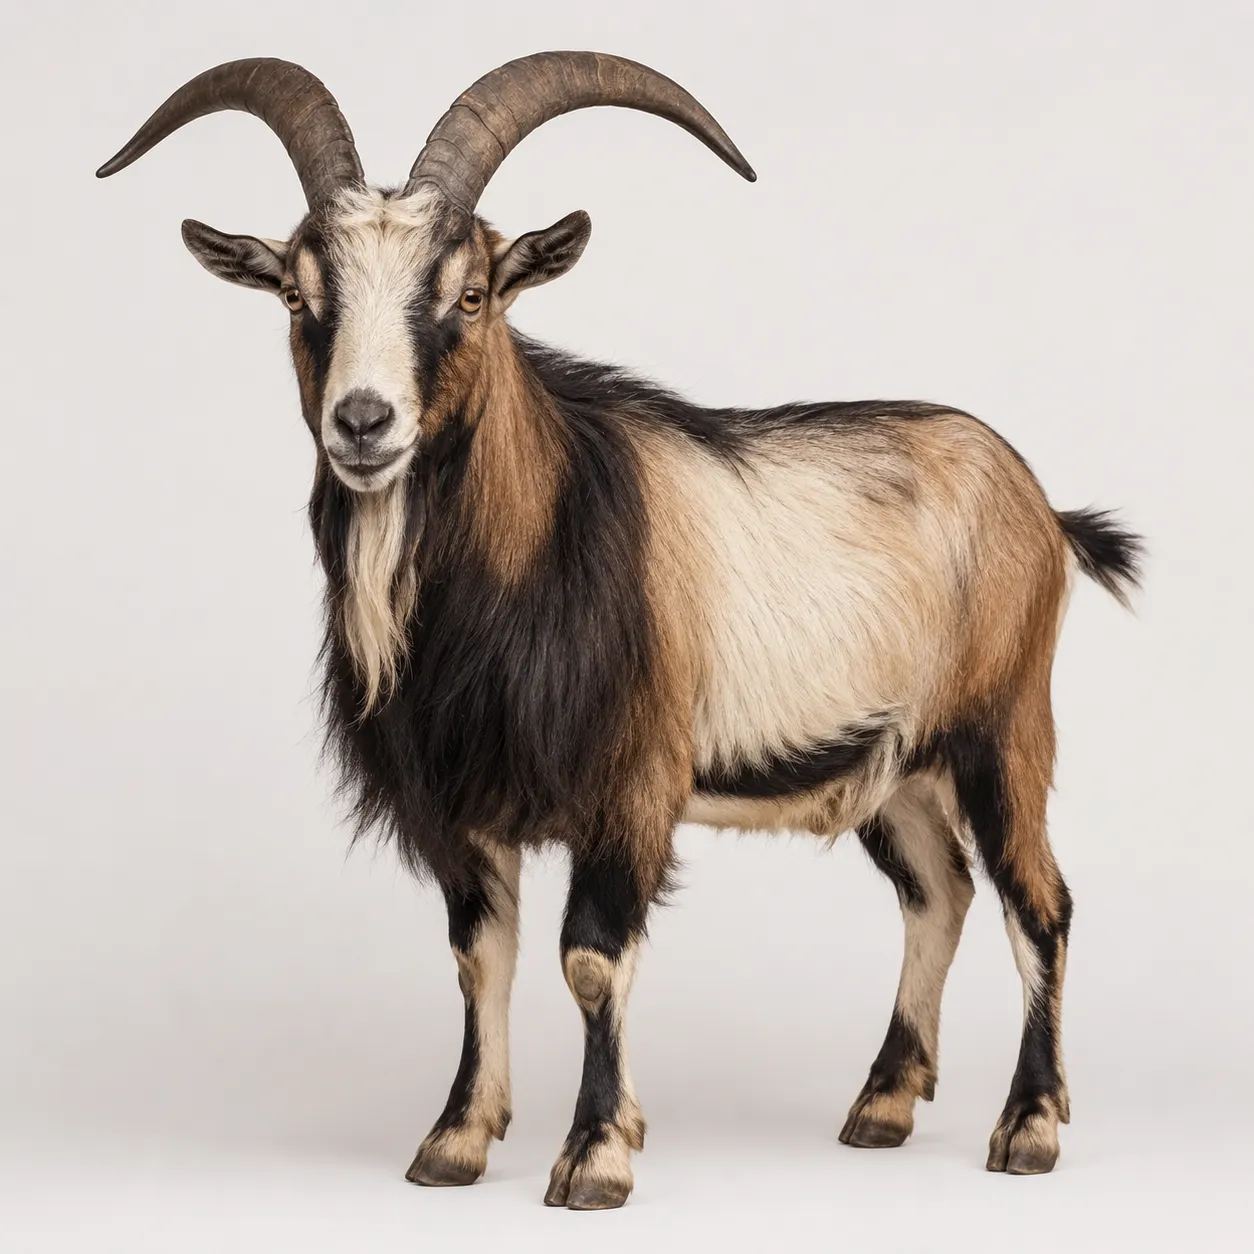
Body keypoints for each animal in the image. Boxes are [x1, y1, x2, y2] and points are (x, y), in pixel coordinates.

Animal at [98, 53, 1141, 1209]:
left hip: (1005, 729)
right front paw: (455, 1140)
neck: (536, 549)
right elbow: (480, 957)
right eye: (296, 292)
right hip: (898, 766)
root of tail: (1040, 507)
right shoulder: (465, 804)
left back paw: (1029, 1126)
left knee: (1036, 902)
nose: (364, 422)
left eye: (469, 292)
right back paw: (880, 1105)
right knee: (939, 893)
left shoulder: (628, 786)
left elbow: (591, 959)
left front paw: (595, 1154)